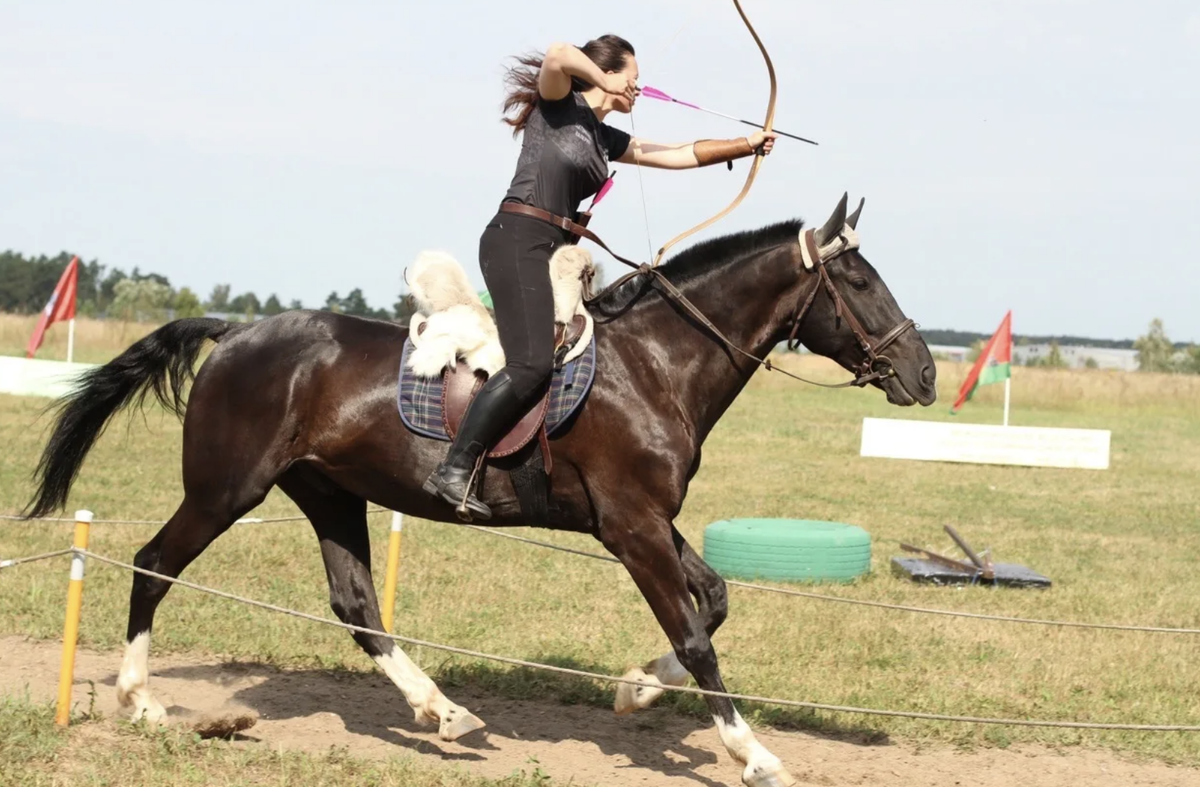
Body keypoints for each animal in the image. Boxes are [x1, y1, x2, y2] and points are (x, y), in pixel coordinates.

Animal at [21, 191, 936, 787]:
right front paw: (754, 754)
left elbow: (712, 601)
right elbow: (697, 632)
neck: (657, 362)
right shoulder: (632, 525)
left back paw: (442, 711)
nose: (924, 374)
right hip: (226, 488)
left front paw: (636, 689)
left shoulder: (642, 520)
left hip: (328, 493)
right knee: (153, 562)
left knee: (357, 605)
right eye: (861, 284)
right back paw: (140, 700)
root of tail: (238, 330)